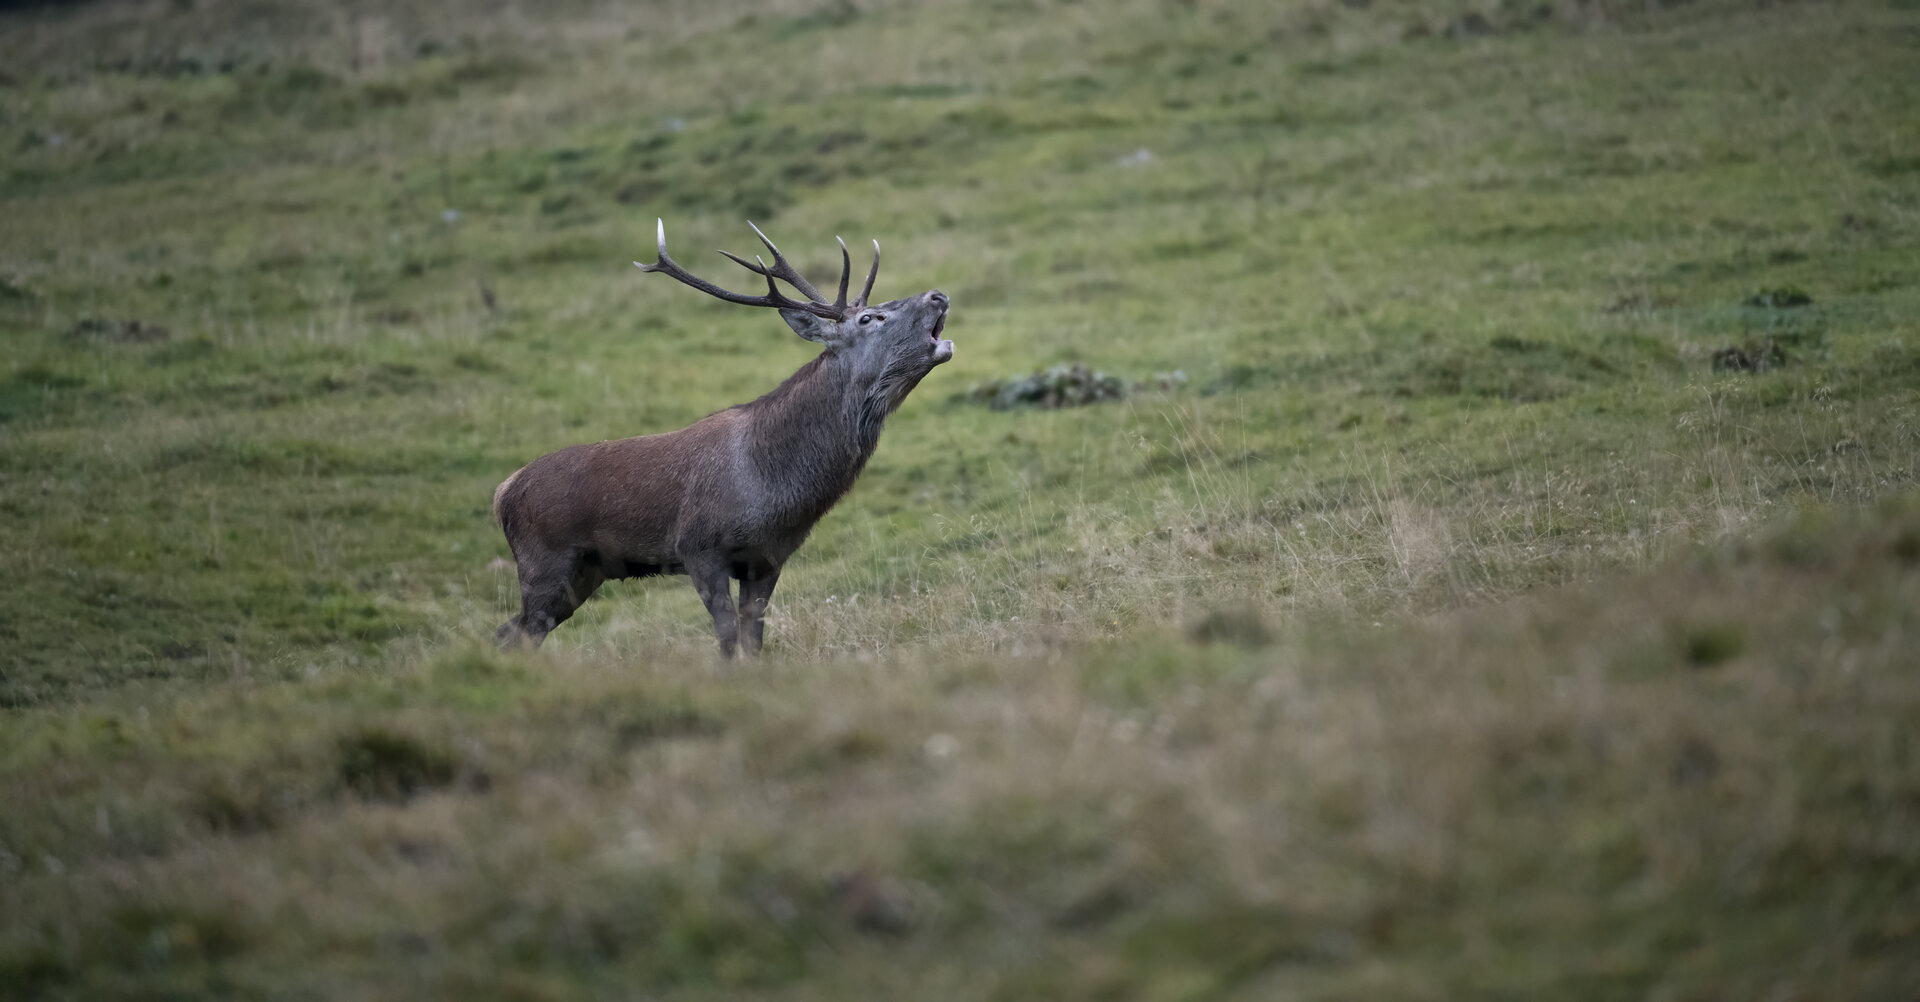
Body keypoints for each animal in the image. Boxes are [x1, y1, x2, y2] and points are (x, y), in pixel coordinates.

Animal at [491, 220, 953, 657]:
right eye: (869, 317)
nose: (938, 295)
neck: (771, 485)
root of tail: (502, 491)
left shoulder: (767, 558)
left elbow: (754, 639)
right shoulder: (698, 548)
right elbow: (728, 637)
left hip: (586, 572)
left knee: (511, 632)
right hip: (544, 561)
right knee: (524, 631)